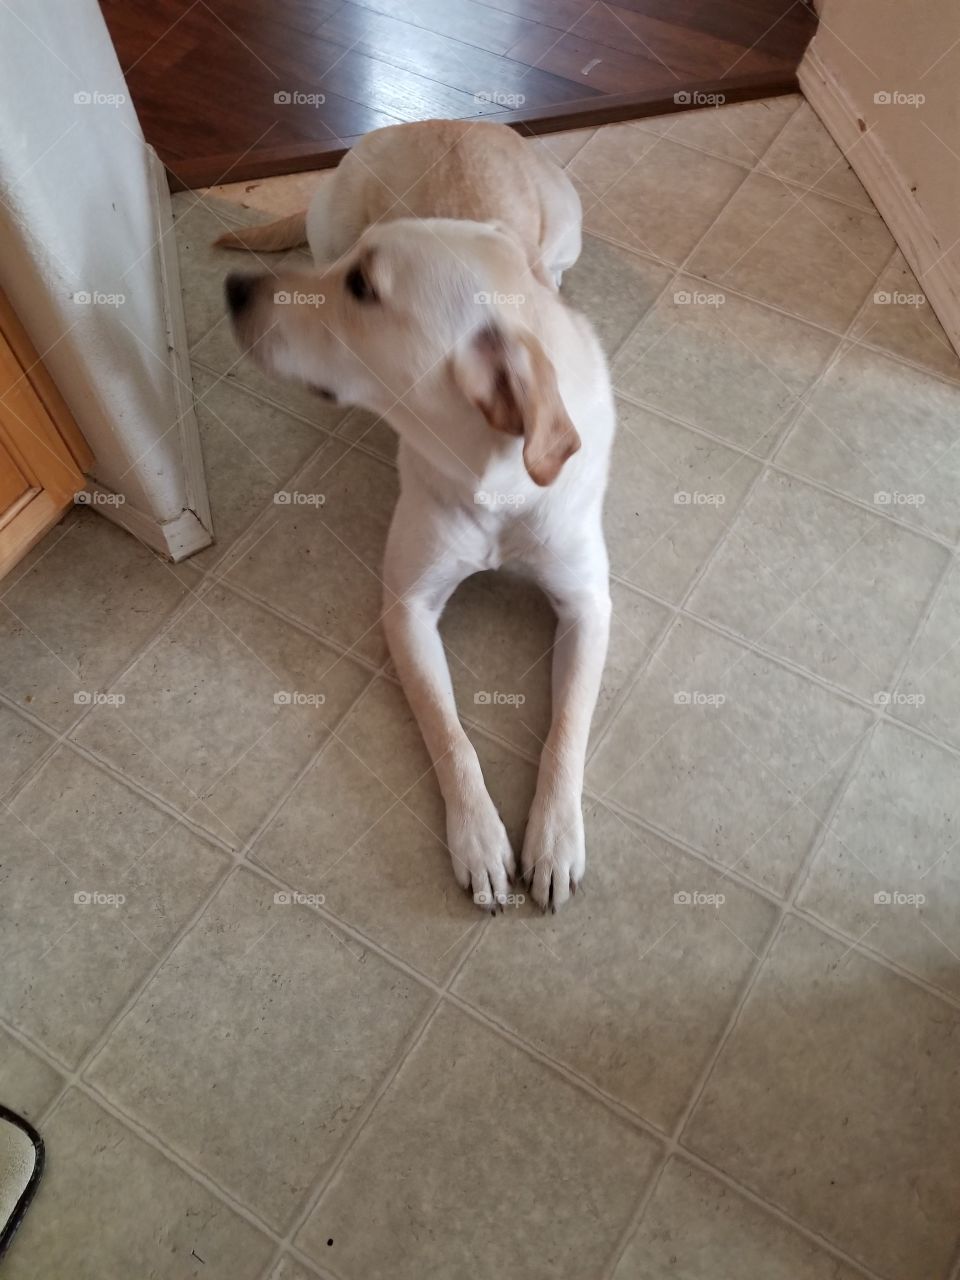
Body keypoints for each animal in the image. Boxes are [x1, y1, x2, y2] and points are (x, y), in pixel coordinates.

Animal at [220, 115, 616, 906]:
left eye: (362, 288)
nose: (234, 289)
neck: (494, 473)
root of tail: (453, 119)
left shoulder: (589, 603)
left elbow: (567, 728)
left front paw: (555, 838)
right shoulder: (406, 606)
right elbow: (449, 732)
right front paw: (481, 840)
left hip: (568, 220)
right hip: (330, 214)